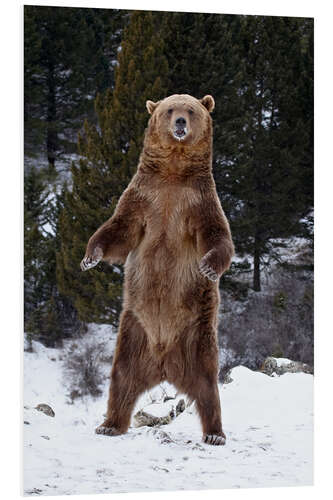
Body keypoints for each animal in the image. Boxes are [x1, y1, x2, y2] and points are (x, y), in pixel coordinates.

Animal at [81, 94, 233, 446]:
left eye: (190, 109)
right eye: (168, 109)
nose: (180, 122)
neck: (173, 174)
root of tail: (164, 364)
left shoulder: (198, 202)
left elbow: (217, 234)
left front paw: (208, 267)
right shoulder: (143, 198)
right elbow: (119, 230)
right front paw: (90, 257)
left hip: (197, 334)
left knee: (208, 386)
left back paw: (215, 433)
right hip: (134, 331)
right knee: (121, 378)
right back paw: (109, 424)